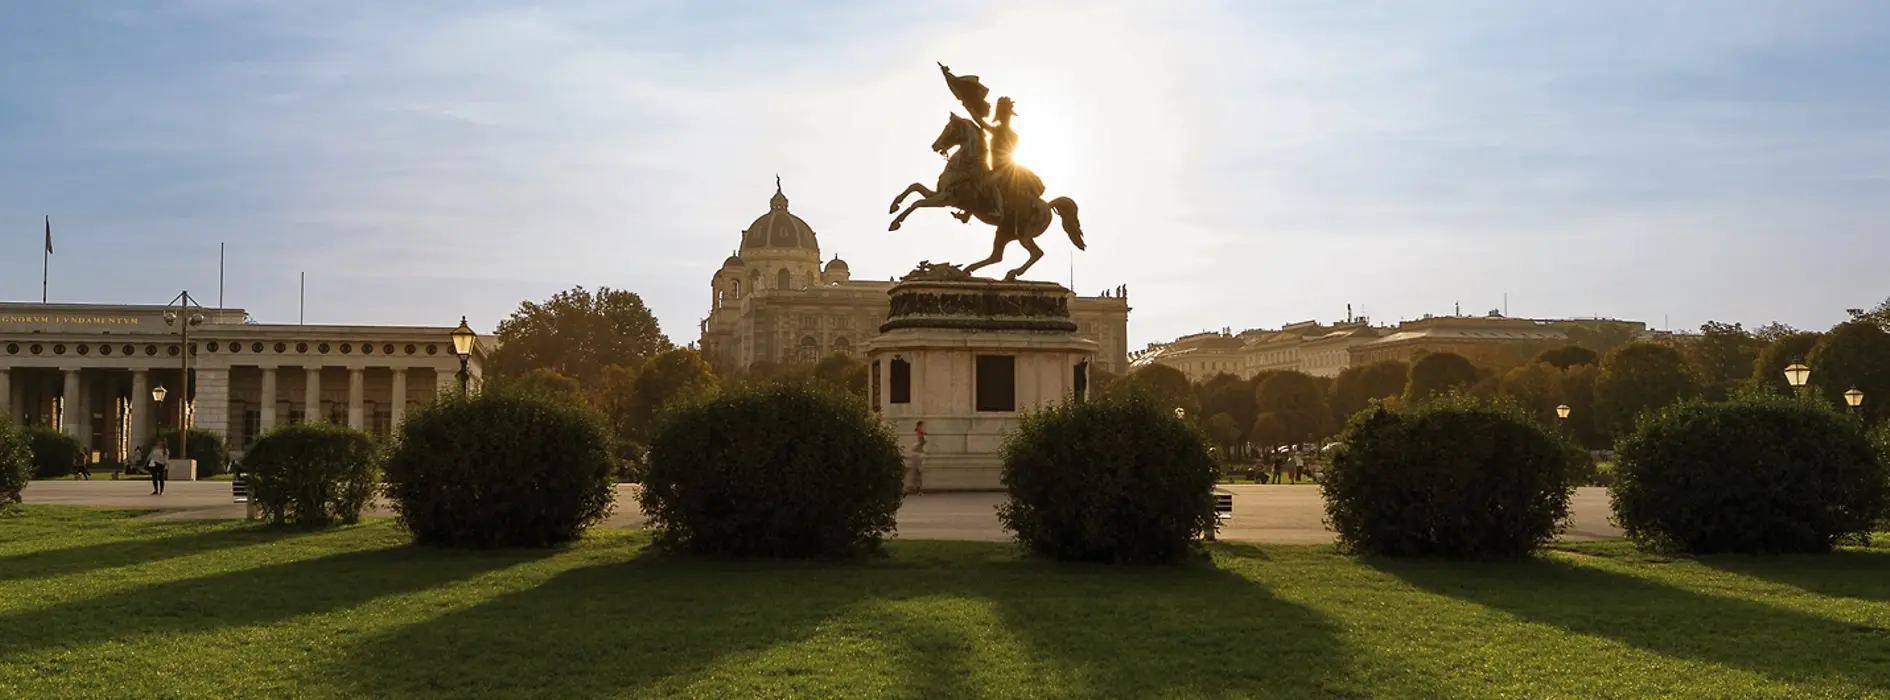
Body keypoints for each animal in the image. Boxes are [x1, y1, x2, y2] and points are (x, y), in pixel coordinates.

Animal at [892, 113, 1088, 280]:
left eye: (949, 128)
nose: (935, 146)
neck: (964, 166)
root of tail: (1047, 205)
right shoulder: (939, 193)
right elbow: (914, 187)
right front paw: (894, 206)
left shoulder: (946, 199)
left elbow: (917, 203)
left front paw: (895, 223)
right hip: (1004, 232)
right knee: (996, 256)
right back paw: (968, 270)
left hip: (1023, 234)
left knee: (1036, 253)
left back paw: (1011, 273)